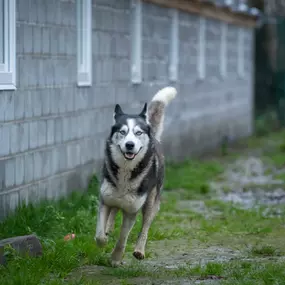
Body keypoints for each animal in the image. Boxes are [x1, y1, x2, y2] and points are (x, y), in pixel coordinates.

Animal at [94, 85, 176, 266]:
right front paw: (104, 238)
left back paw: (139, 250)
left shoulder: (132, 211)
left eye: (138, 133)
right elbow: (99, 234)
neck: (125, 172)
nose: (129, 145)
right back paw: (109, 228)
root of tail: (153, 136)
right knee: (114, 210)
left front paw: (116, 258)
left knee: (145, 226)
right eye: (122, 132)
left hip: (151, 202)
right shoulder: (104, 200)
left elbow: (123, 238)